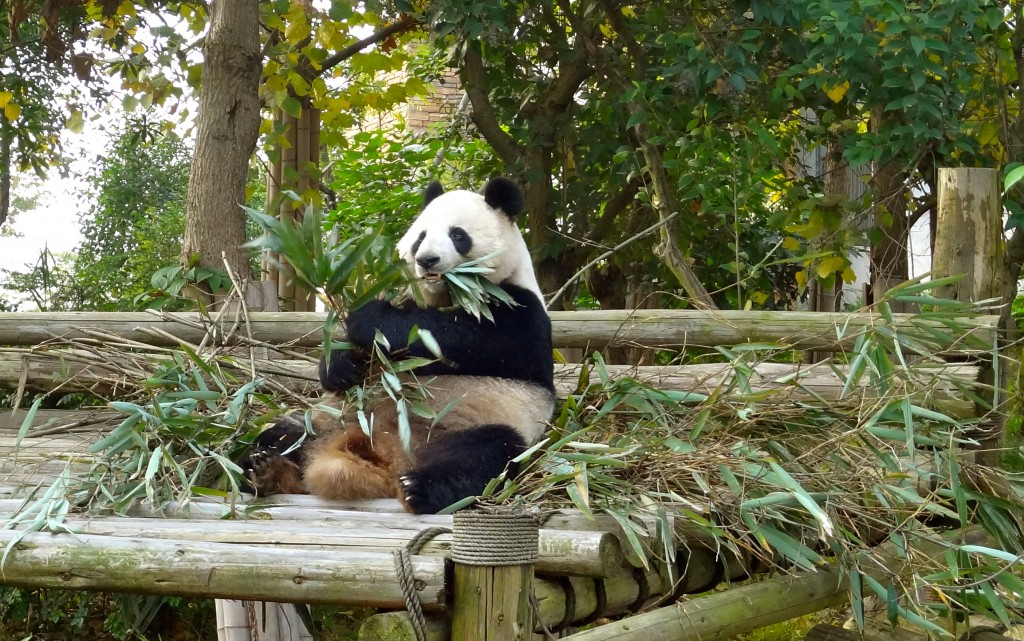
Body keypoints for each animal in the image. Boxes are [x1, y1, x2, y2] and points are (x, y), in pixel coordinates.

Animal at [241, 176, 552, 514]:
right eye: (420, 237)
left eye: (458, 235)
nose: (426, 260)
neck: (446, 294)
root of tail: (386, 457)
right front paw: (341, 366)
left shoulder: (519, 309)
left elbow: (467, 338)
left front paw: (367, 317)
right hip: (326, 420)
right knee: (279, 433)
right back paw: (263, 470)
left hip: (475, 424)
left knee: (485, 453)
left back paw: (418, 488)